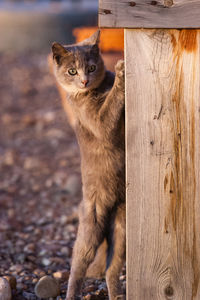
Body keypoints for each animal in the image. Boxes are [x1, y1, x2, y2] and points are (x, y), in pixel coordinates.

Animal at [51, 29, 125, 300]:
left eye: (92, 67)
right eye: (72, 71)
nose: (83, 81)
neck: (96, 91)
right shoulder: (96, 122)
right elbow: (108, 114)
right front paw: (121, 75)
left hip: (122, 228)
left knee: (112, 268)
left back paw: (116, 294)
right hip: (91, 226)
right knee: (78, 263)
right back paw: (72, 293)